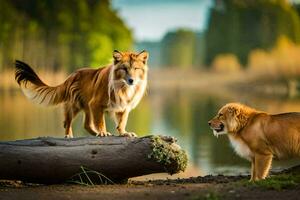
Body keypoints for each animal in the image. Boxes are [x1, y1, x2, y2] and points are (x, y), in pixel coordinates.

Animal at [15, 50, 149, 138]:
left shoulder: (123, 106)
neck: (123, 87)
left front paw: (124, 133)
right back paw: (69, 136)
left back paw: (93, 133)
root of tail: (71, 76)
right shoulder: (96, 104)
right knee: (67, 122)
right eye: (124, 69)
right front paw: (103, 132)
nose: (131, 80)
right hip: (74, 105)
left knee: (86, 125)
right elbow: (101, 121)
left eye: (136, 68)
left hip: (87, 106)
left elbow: (122, 121)